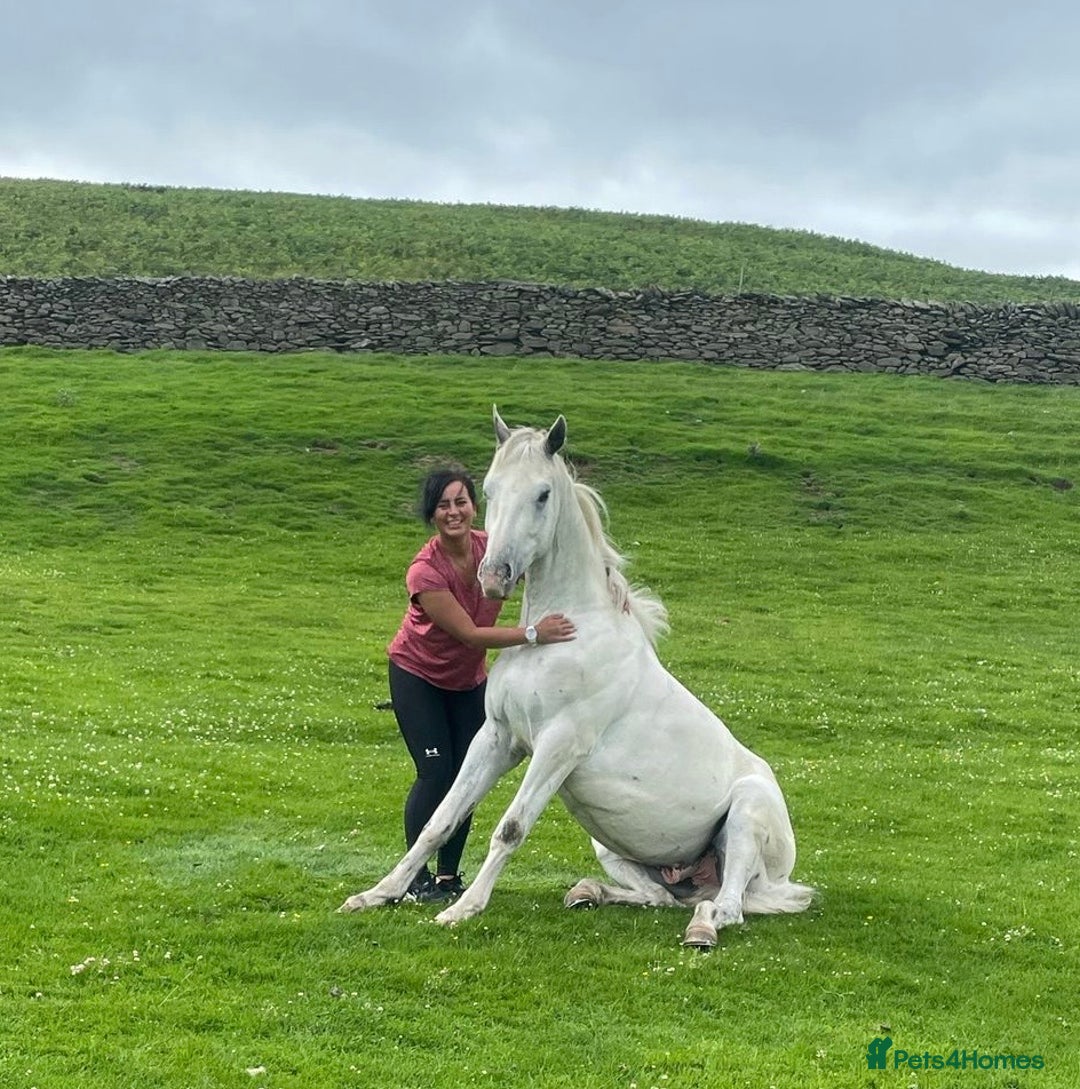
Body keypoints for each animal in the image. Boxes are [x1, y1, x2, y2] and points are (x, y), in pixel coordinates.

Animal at [339, 409, 814, 947]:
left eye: (543, 494)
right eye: (489, 489)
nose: (494, 576)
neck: (566, 633)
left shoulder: (559, 746)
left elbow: (510, 827)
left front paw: (463, 909)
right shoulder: (498, 738)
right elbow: (440, 818)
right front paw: (376, 894)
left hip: (745, 820)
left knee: (729, 905)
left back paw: (703, 927)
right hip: (613, 846)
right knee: (660, 897)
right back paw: (589, 892)